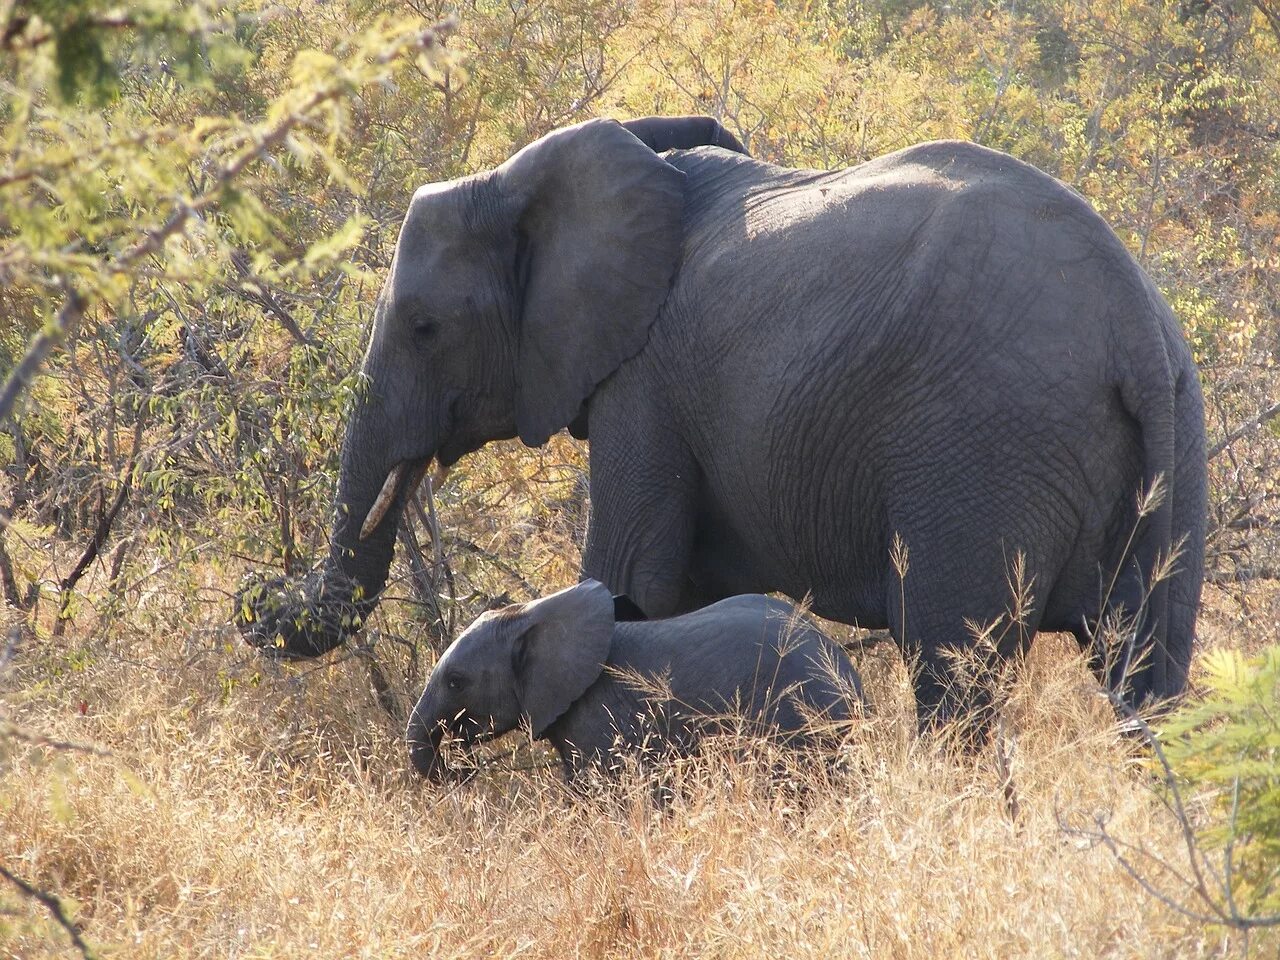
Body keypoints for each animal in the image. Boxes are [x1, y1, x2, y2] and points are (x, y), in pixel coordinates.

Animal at [235, 116, 1203, 727]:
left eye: (424, 327)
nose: (256, 596)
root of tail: (1131, 321)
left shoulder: (645, 385)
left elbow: (628, 586)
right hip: (1175, 438)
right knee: (1148, 680)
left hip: (979, 451)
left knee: (952, 674)